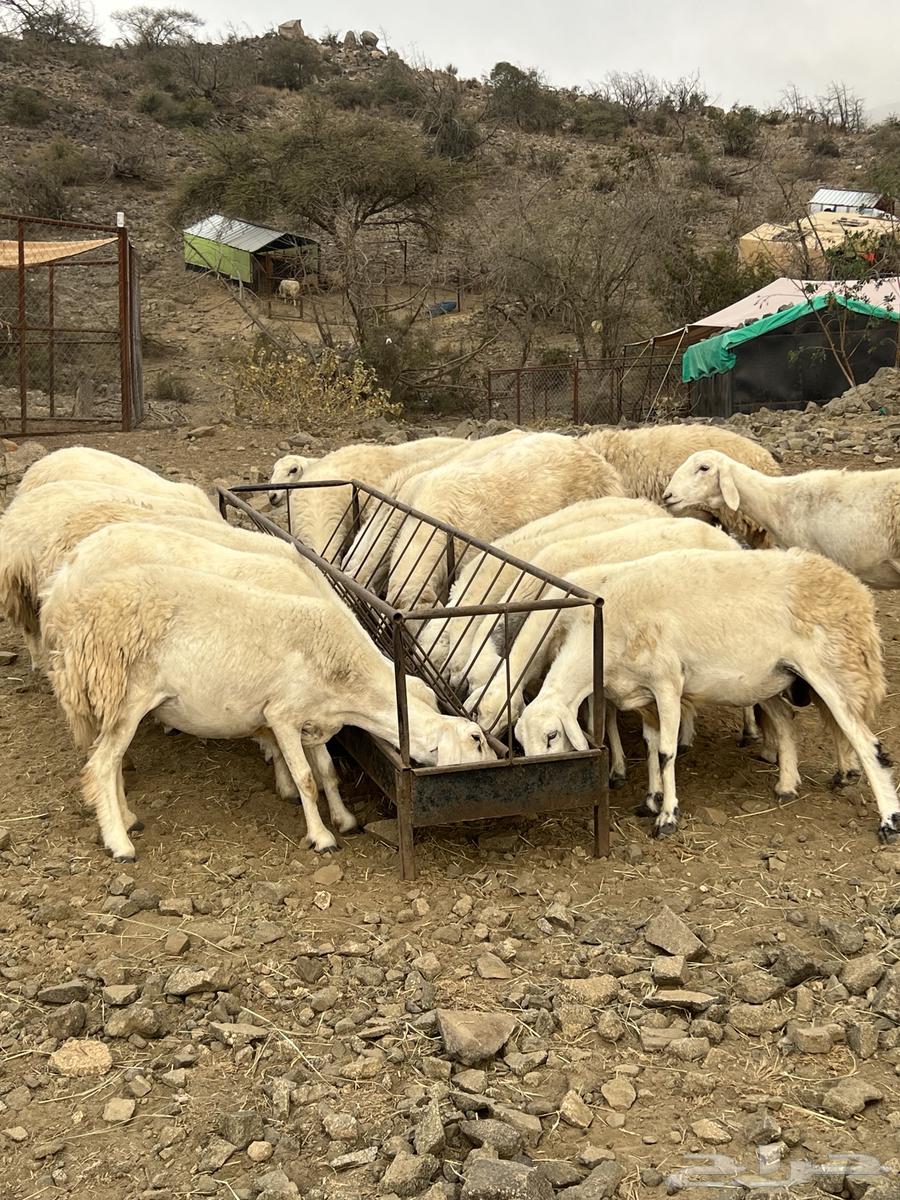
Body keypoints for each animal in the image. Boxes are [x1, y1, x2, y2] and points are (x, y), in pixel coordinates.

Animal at [41, 563, 494, 860]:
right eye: (476, 738)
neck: (348, 679)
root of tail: (79, 621)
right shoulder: (283, 715)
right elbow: (307, 779)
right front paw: (322, 837)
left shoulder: (314, 720)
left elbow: (328, 772)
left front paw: (344, 818)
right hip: (127, 694)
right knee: (102, 764)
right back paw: (120, 843)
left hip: (114, 701)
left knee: (110, 761)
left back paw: (127, 817)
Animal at [512, 547, 899, 842]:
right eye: (520, 744)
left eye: (552, 735)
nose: (537, 786)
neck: (604, 641)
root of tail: (854, 590)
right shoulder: (644, 696)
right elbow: (652, 745)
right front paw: (651, 800)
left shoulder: (667, 682)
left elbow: (666, 752)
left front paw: (667, 817)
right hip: (771, 676)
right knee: (786, 722)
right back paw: (787, 785)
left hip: (834, 670)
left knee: (866, 743)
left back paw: (888, 820)